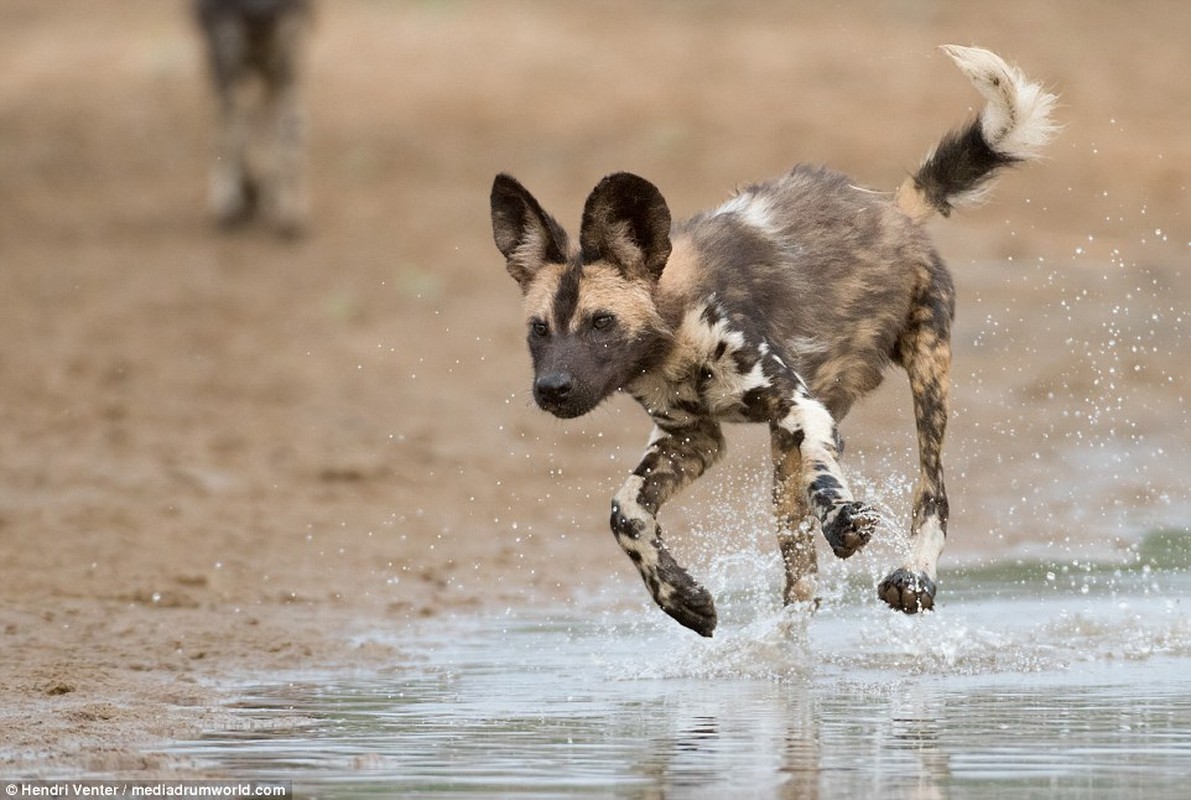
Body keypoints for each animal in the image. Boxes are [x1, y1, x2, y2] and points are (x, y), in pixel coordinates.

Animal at [194, 0, 312, 238]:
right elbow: (231, 133)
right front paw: (231, 198)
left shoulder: (285, 54)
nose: (261, 14)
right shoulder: (225, 51)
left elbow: (287, 134)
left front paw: (287, 206)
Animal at [488, 45, 1057, 638]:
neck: (675, 342)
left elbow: (828, 479)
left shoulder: (798, 406)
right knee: (800, 578)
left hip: (925, 378)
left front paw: (844, 520)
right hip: (785, 464)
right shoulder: (692, 437)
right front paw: (681, 597)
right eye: (539, 330)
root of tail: (891, 209)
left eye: (602, 323)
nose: (552, 388)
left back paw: (913, 578)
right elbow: (625, 511)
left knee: (932, 492)